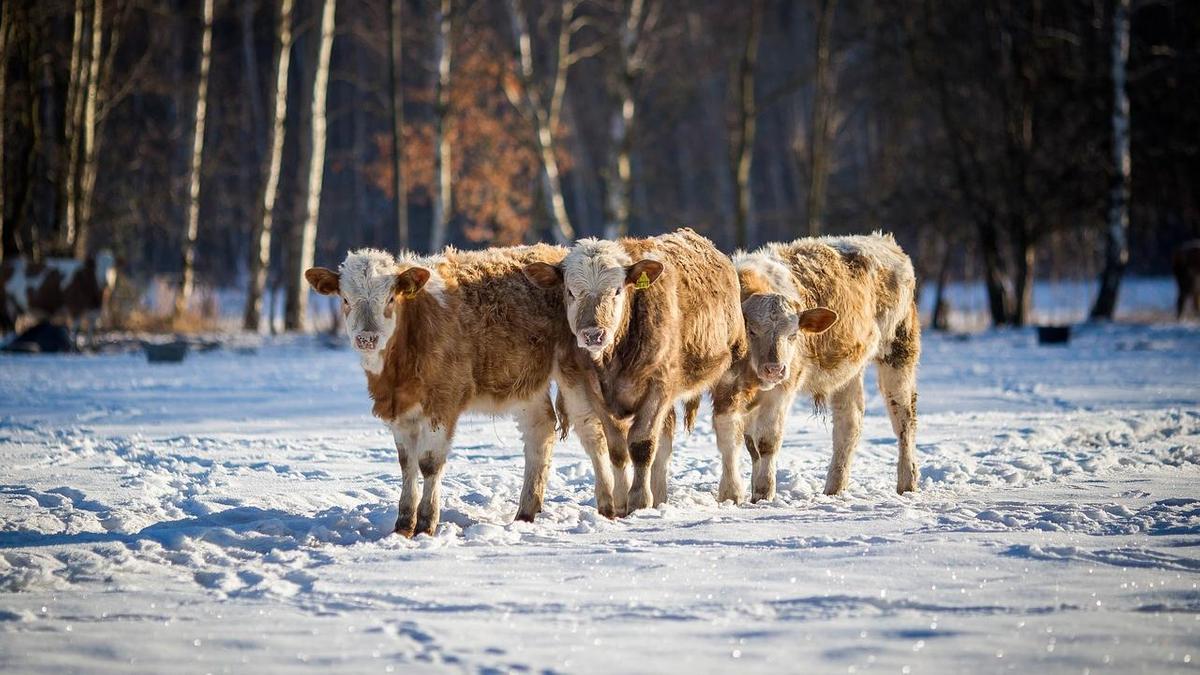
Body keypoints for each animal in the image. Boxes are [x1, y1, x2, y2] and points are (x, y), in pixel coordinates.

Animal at [307, 243, 609, 533]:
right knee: (540, 430)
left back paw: (607, 505)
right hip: (526, 382)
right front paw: (403, 525)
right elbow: (407, 463)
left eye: (390, 299)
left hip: (574, 371)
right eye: (345, 299)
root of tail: (557, 253)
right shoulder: (400, 410)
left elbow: (429, 463)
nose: (367, 338)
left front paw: (426, 524)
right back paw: (526, 512)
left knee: (591, 431)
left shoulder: (443, 402)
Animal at [523, 228, 744, 511]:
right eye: (571, 292)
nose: (593, 334)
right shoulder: (594, 391)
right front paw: (620, 501)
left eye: (617, 291)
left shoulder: (659, 386)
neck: (614, 360)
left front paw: (639, 500)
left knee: (727, 430)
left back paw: (731, 492)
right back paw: (660, 497)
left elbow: (641, 445)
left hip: (732, 366)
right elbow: (618, 449)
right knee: (666, 440)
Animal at [705, 230, 921, 499]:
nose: (775, 369)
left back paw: (907, 482)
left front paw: (763, 492)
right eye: (751, 330)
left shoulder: (782, 389)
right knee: (849, 424)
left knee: (904, 418)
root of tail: (883, 241)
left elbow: (767, 441)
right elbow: (732, 440)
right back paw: (835, 488)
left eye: (793, 335)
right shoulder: (725, 388)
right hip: (849, 372)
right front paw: (731, 494)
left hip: (899, 351)